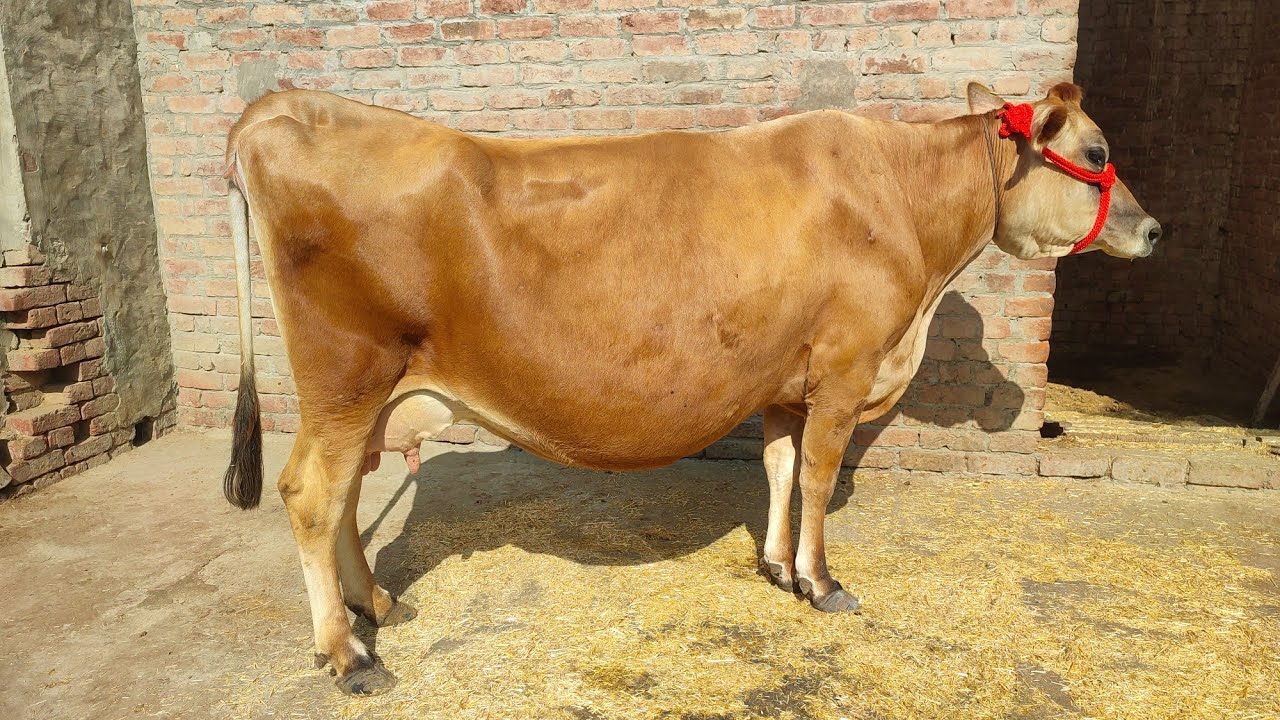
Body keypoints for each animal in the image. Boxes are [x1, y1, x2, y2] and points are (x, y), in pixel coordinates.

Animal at [221, 81, 1159, 695]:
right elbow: (819, 480)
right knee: (312, 494)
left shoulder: (787, 380)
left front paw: (777, 566)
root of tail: (285, 105)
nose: (1154, 229)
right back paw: (348, 657)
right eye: (1099, 153)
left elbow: (780, 470)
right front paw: (822, 582)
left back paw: (376, 604)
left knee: (347, 494)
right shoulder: (847, 367)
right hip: (347, 374)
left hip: (366, 393)